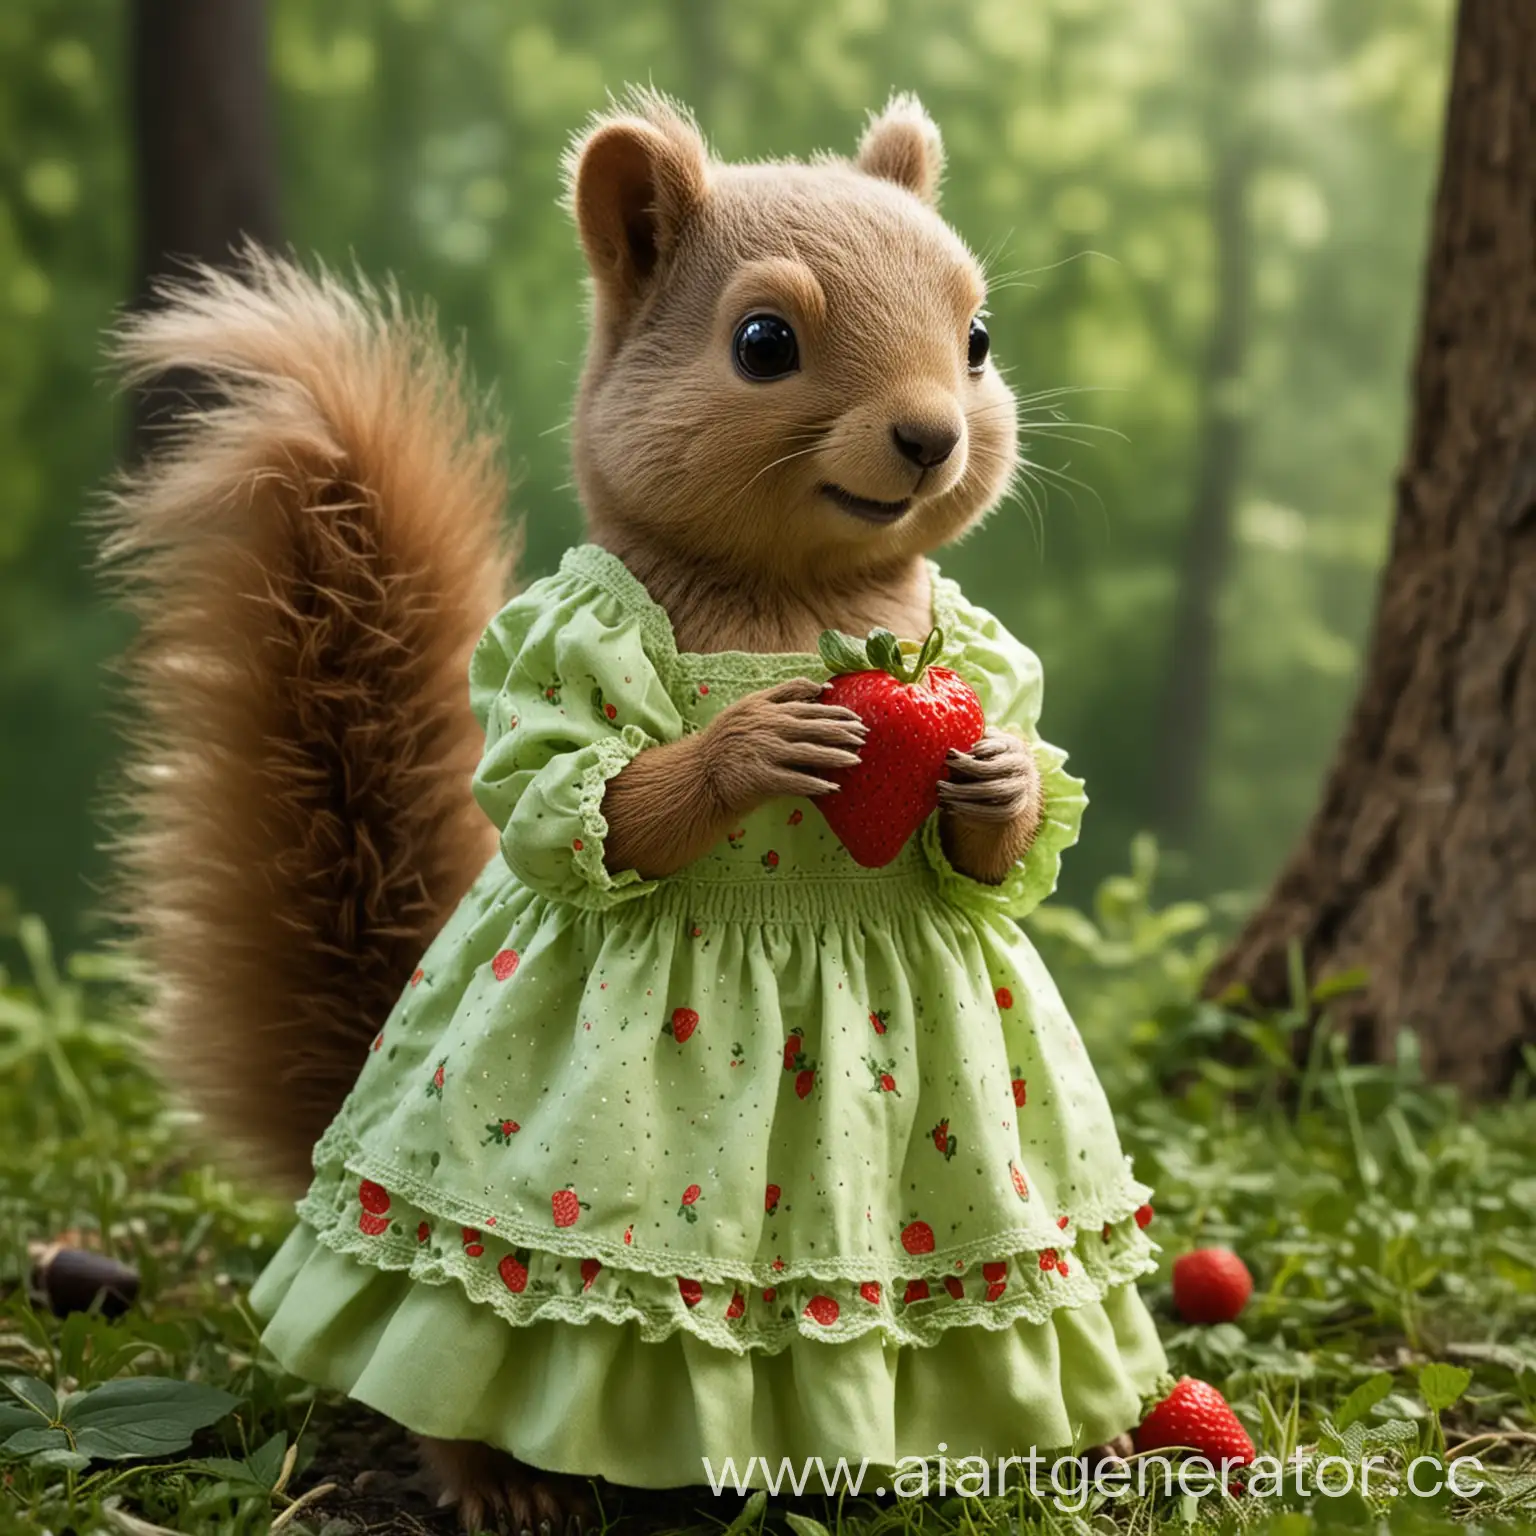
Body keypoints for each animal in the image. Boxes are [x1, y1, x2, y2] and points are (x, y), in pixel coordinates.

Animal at [105, 96, 1130, 1523]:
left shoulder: (979, 657)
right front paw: (753, 743)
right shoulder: (556, 655)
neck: (796, 597)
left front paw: (1006, 783)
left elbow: (995, 840)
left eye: (977, 338)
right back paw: (498, 1482)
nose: (933, 436)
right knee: (424, 1350)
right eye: (763, 343)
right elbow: (580, 801)